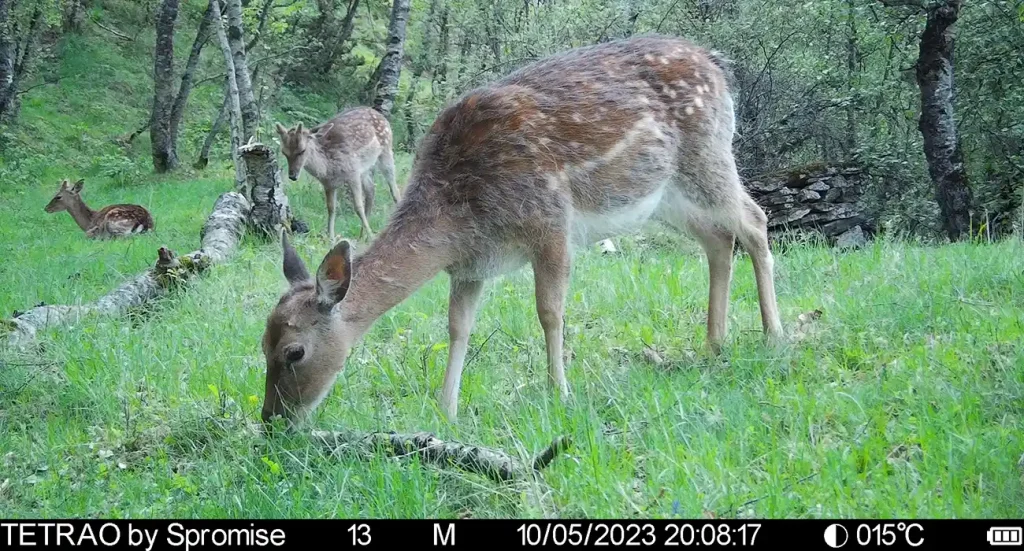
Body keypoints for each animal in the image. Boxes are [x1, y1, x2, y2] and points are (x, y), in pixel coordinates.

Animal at [276, 106, 403, 242]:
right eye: (284, 152)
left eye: (302, 150)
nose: (292, 176)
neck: (328, 168)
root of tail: (377, 113)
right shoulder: (329, 184)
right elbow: (331, 208)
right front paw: (330, 236)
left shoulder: (353, 173)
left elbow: (358, 206)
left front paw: (371, 235)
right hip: (365, 168)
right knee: (371, 191)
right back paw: (361, 235)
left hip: (386, 150)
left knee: (394, 190)